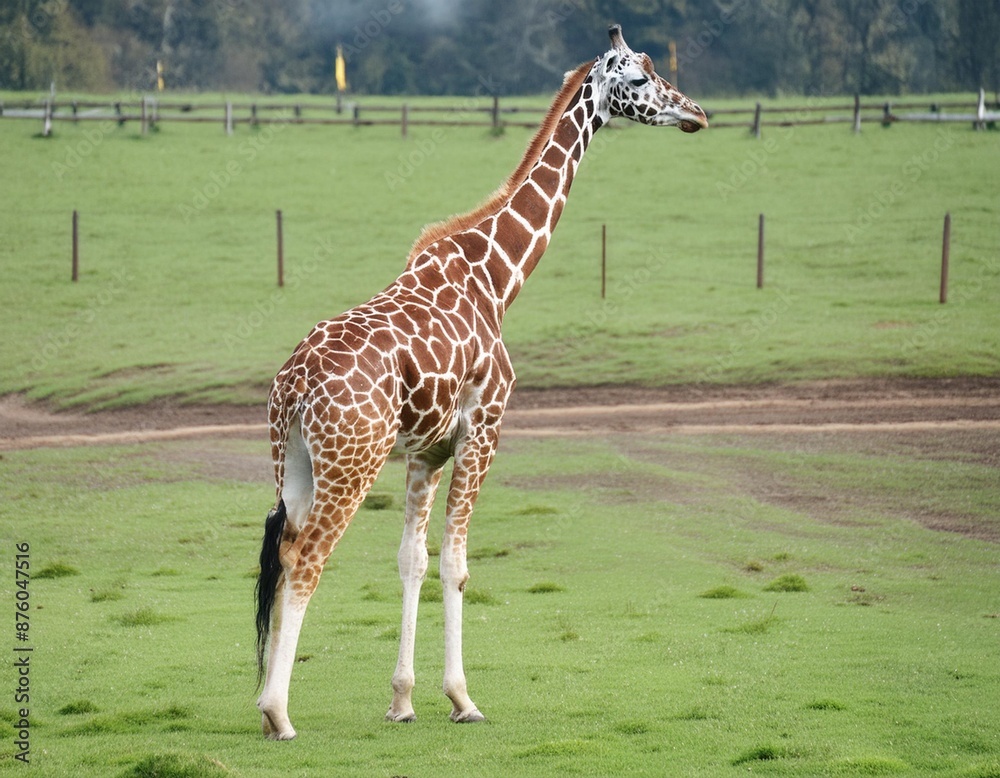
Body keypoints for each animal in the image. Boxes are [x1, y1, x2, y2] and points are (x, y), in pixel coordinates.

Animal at [255, 24, 706, 740]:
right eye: (639, 78)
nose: (696, 113)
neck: (499, 278)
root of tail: (293, 387)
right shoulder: (483, 429)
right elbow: (458, 564)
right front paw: (463, 698)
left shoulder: (426, 451)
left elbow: (412, 561)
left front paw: (402, 701)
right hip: (351, 463)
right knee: (306, 559)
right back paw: (277, 712)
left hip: (293, 462)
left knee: (281, 553)